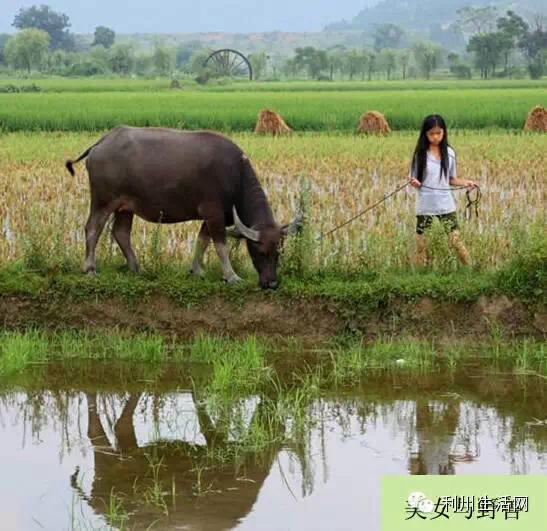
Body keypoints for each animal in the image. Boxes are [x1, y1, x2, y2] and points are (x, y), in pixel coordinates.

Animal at [67, 125, 304, 288]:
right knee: (93, 228)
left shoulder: (212, 217)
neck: (235, 176)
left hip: (125, 206)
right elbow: (220, 245)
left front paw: (196, 270)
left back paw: (136, 268)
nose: (272, 284)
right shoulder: (213, 213)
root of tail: (101, 142)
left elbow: (202, 241)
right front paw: (231, 276)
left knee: (121, 232)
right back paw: (90, 268)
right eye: (259, 251)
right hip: (103, 201)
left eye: (279, 252)